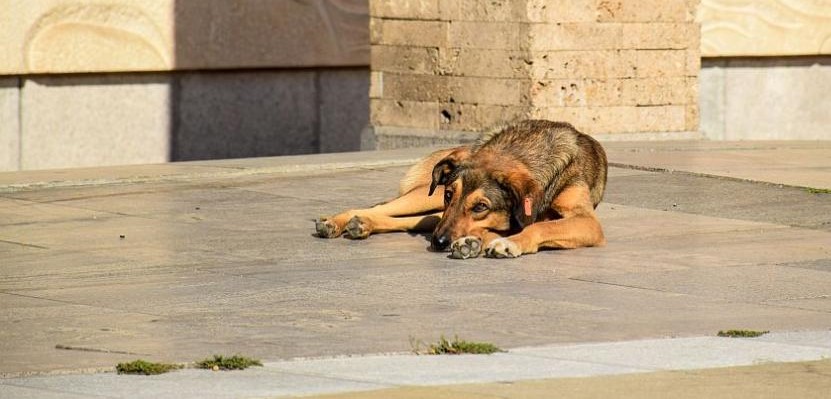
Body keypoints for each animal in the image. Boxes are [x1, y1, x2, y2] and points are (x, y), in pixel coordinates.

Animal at [316, 119, 608, 260]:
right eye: (449, 195)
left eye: (480, 206)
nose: (437, 243)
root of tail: (458, 148)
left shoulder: (587, 221)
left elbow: (539, 227)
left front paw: (494, 242)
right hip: (425, 197)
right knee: (380, 207)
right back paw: (337, 222)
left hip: (430, 211)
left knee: (413, 220)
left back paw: (362, 224)